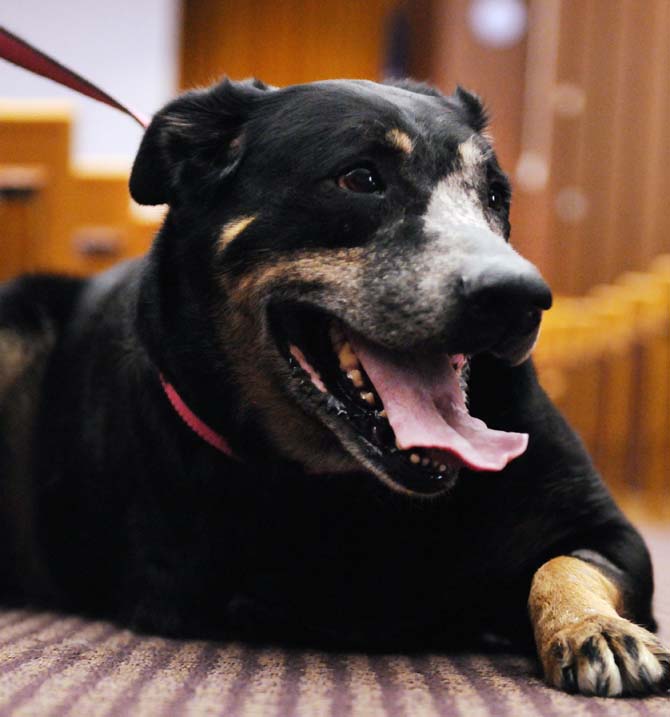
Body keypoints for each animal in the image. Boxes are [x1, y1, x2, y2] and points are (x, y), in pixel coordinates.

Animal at [0, 77, 668, 692]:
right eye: (361, 179)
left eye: (496, 195)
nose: (520, 297)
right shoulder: (203, 584)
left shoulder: (609, 532)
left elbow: (563, 566)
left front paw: (595, 628)